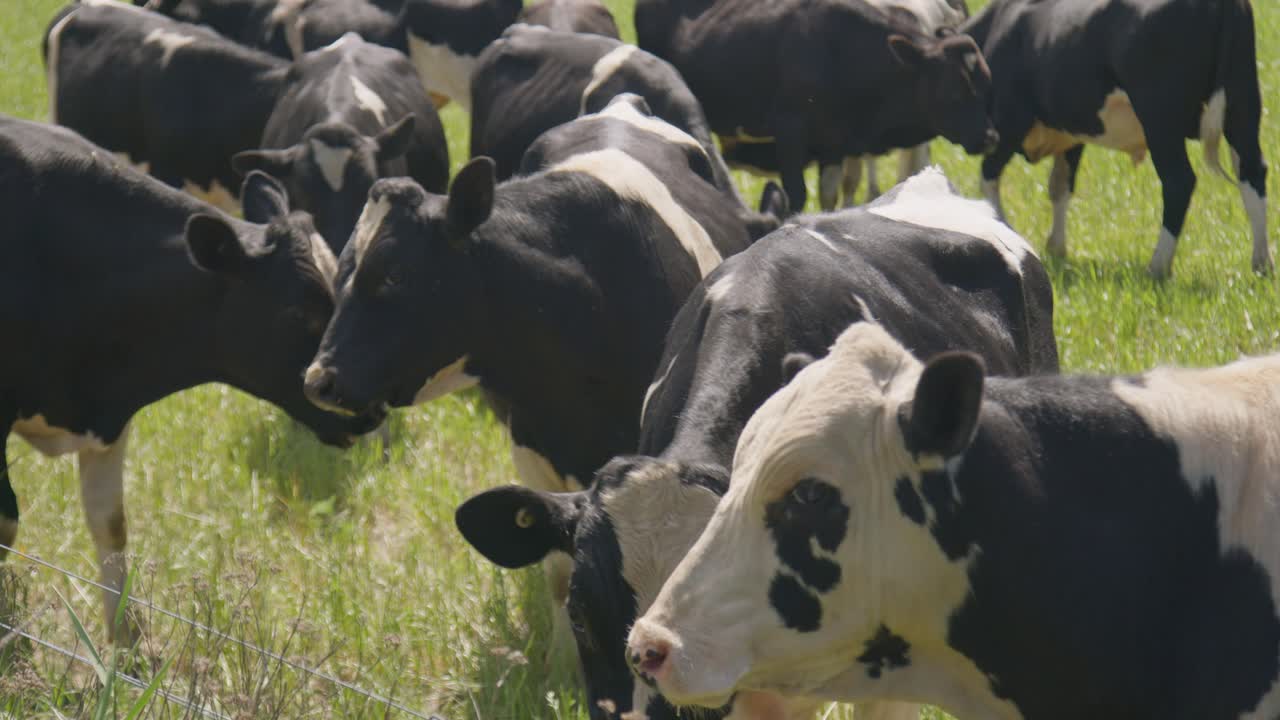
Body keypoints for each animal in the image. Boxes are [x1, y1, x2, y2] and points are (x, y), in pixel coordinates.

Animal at [635, 0, 997, 212]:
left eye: (985, 82)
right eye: (955, 89)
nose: (990, 137)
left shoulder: (835, 144)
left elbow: (829, 196)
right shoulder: (789, 131)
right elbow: (796, 196)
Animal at [964, 0, 1269, 278]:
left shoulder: (1008, 122)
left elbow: (989, 178)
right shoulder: (1073, 135)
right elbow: (1060, 185)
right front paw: (1056, 248)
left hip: (1161, 119)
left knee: (1179, 181)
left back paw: (1158, 266)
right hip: (1243, 104)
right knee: (1252, 172)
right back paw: (1261, 263)